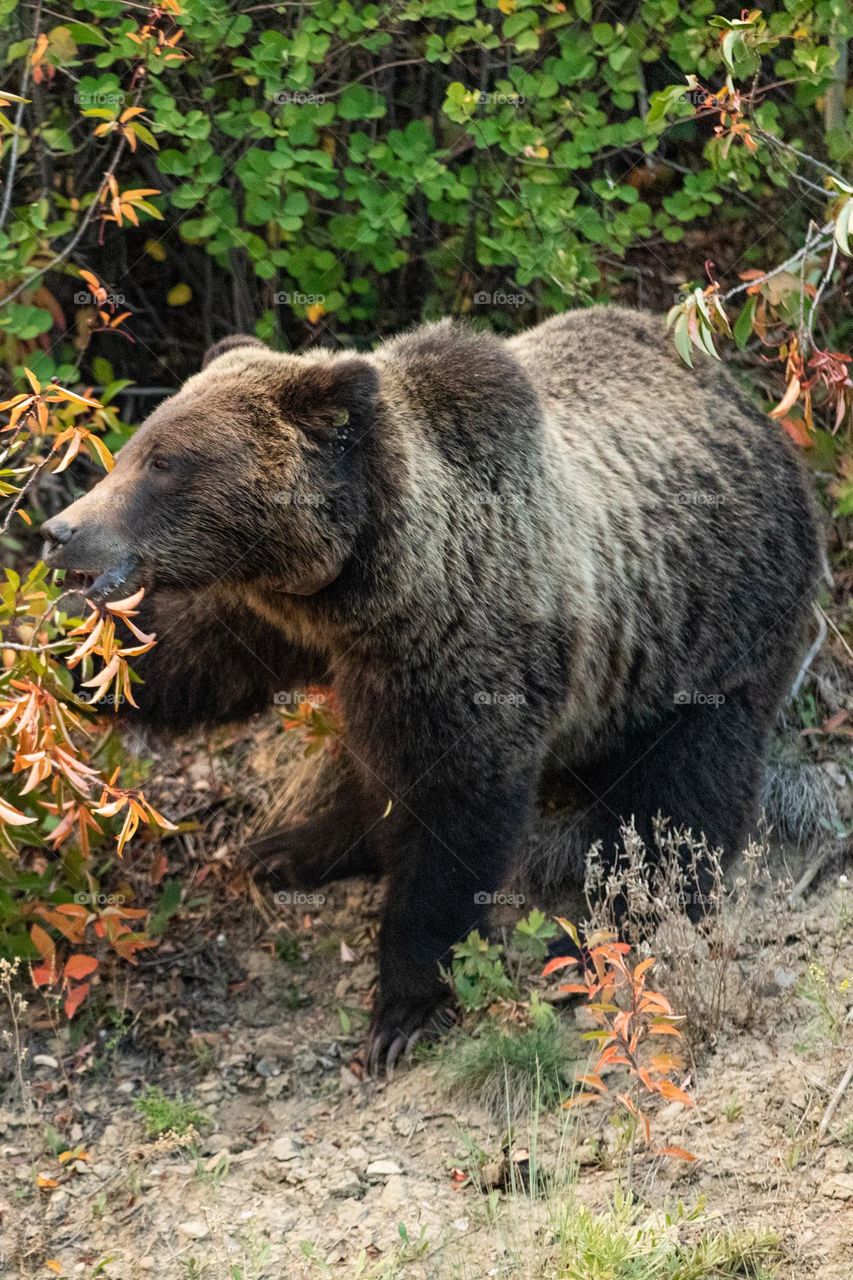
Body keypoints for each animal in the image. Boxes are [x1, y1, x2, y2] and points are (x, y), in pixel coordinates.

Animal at [41, 307, 822, 1072]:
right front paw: (59, 650)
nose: (59, 530)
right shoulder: (264, 612)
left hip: (708, 637)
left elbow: (453, 818)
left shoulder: (467, 644)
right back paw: (286, 849)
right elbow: (183, 660)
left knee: (681, 798)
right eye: (136, 447)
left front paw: (404, 1012)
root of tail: (752, 412)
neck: (362, 588)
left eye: (166, 462)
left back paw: (596, 940)